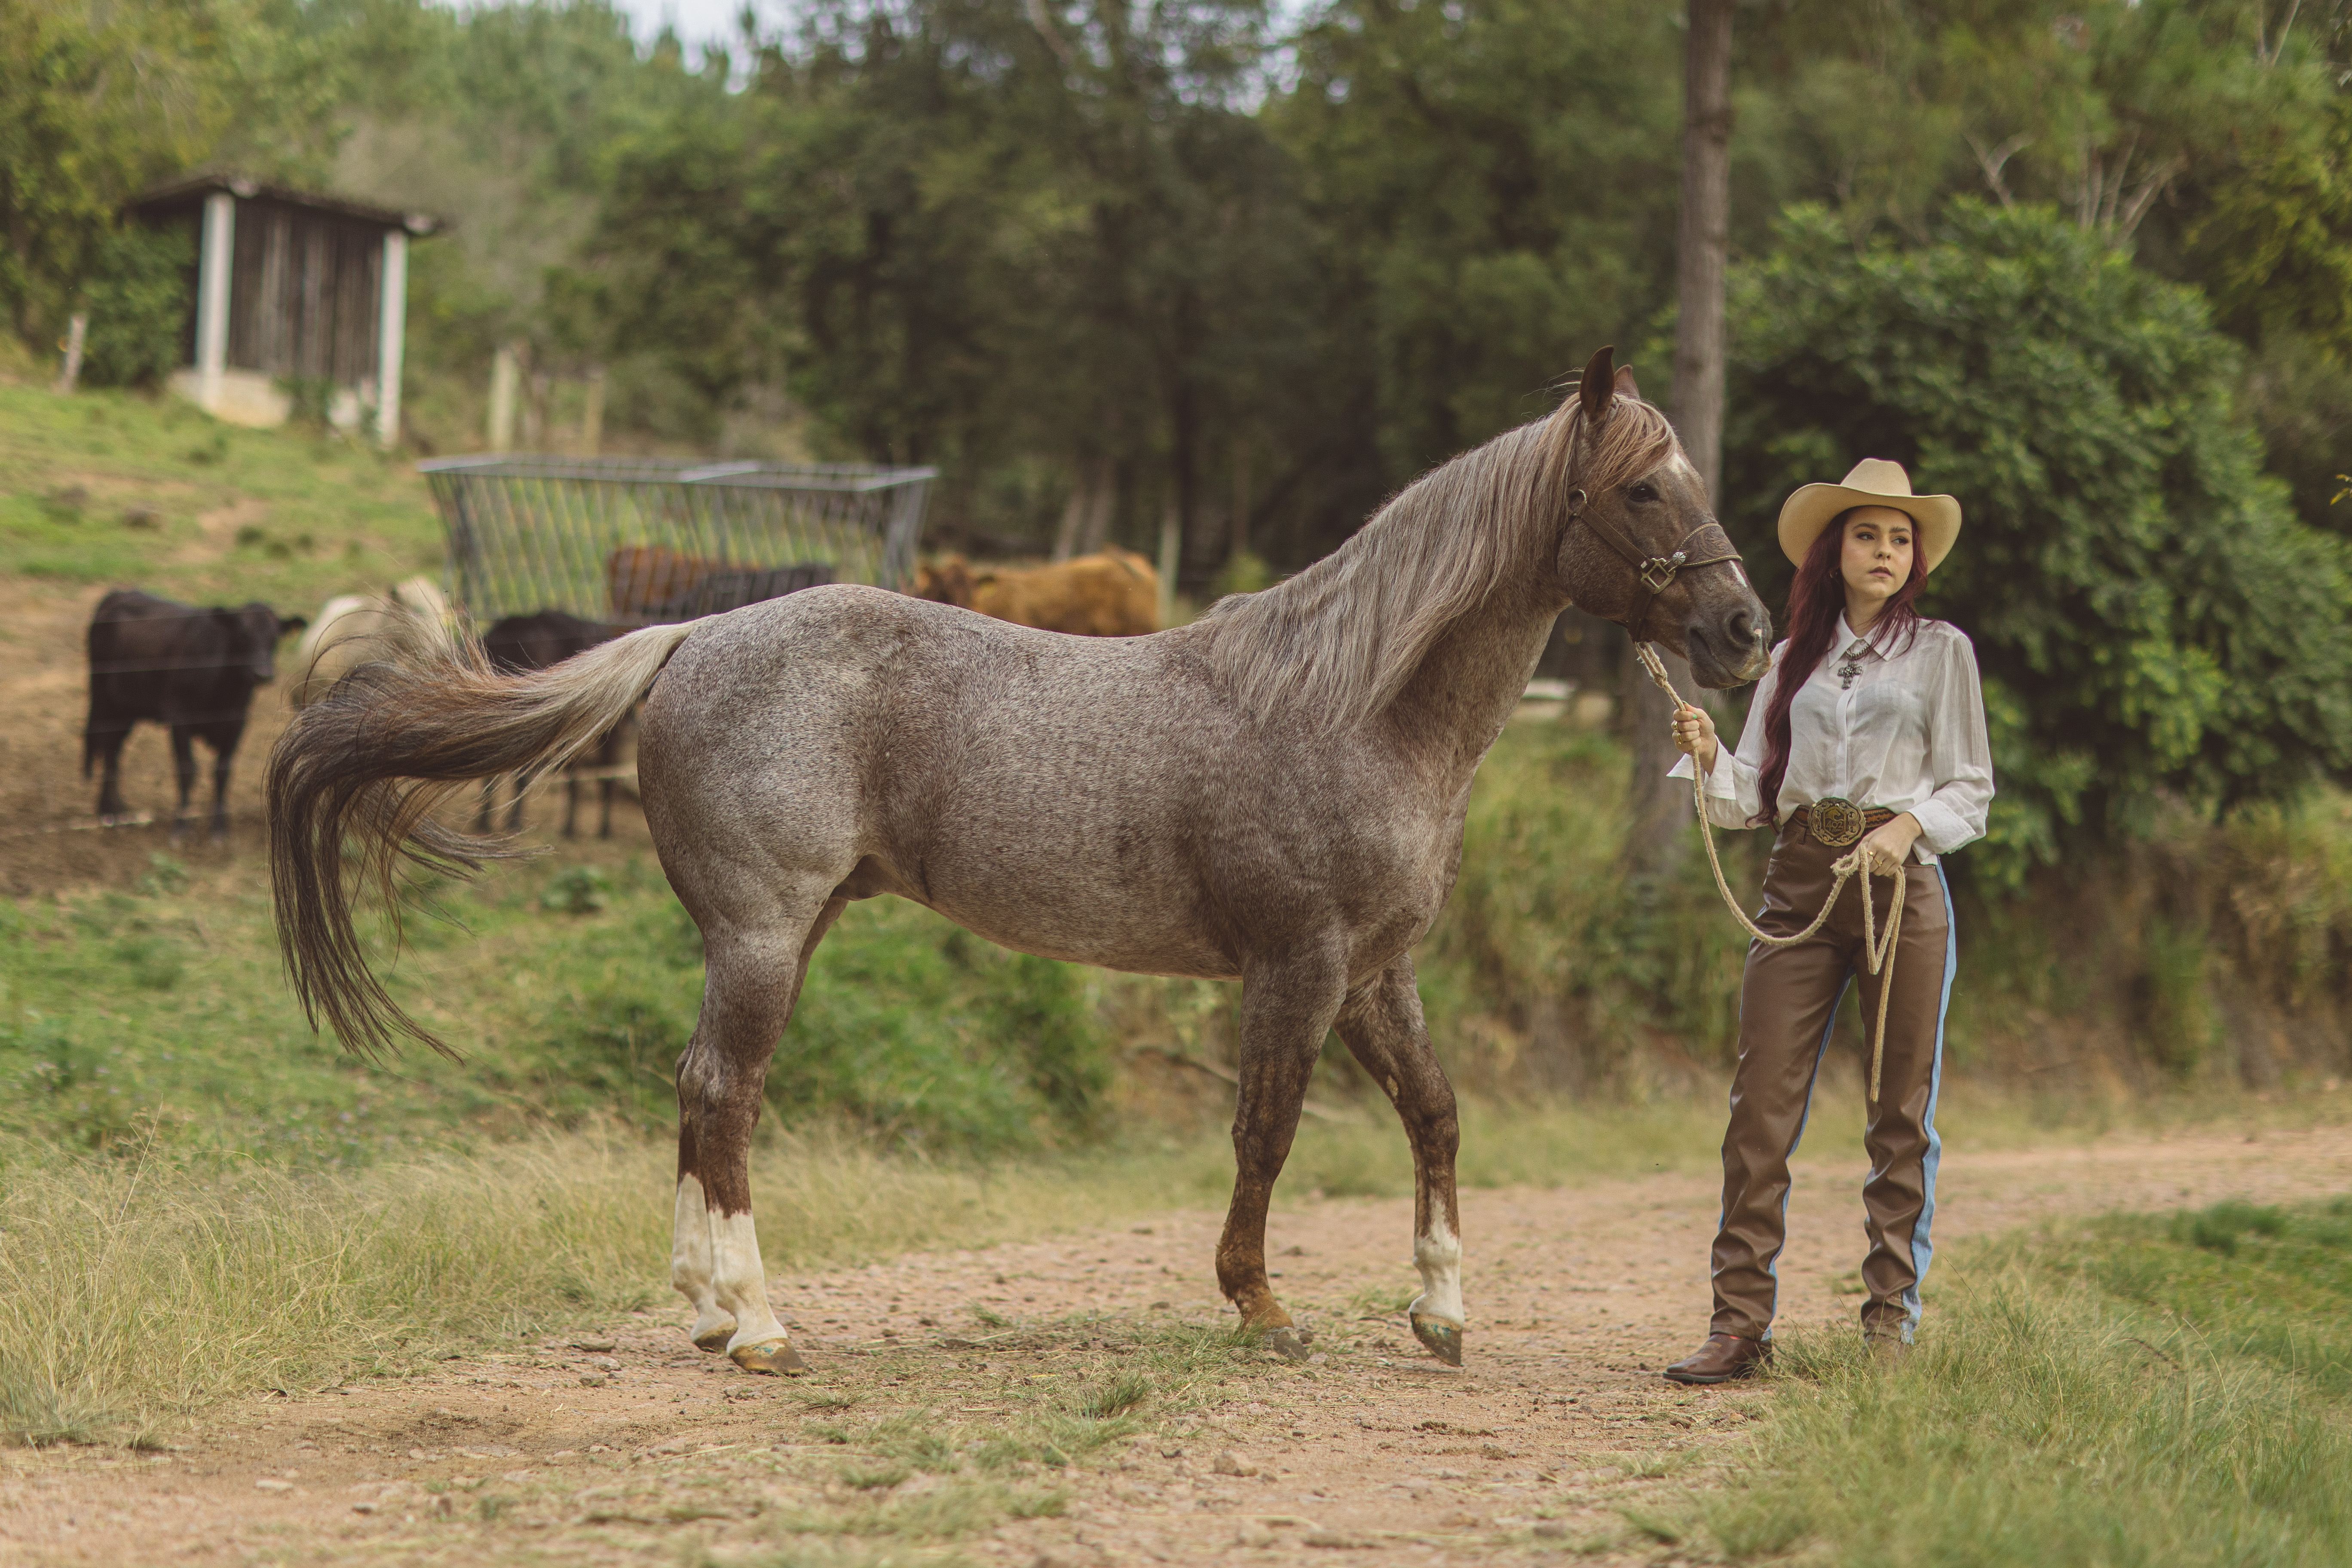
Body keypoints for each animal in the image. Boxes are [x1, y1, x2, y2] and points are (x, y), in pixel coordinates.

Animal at [86, 588, 308, 841]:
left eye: (275, 637)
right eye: (243, 634)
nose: (262, 674)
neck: (223, 691)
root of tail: (120, 593)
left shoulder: (237, 722)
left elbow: (223, 771)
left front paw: (220, 828)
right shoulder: (179, 717)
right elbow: (187, 769)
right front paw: (181, 827)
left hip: (128, 706)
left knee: (114, 748)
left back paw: (116, 809)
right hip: (103, 697)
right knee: (106, 743)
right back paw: (109, 812)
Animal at [472, 611, 625, 841]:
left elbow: (521, 778)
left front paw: (513, 823)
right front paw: (484, 823)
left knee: (607, 772)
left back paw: (603, 829)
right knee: (577, 775)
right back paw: (570, 828)